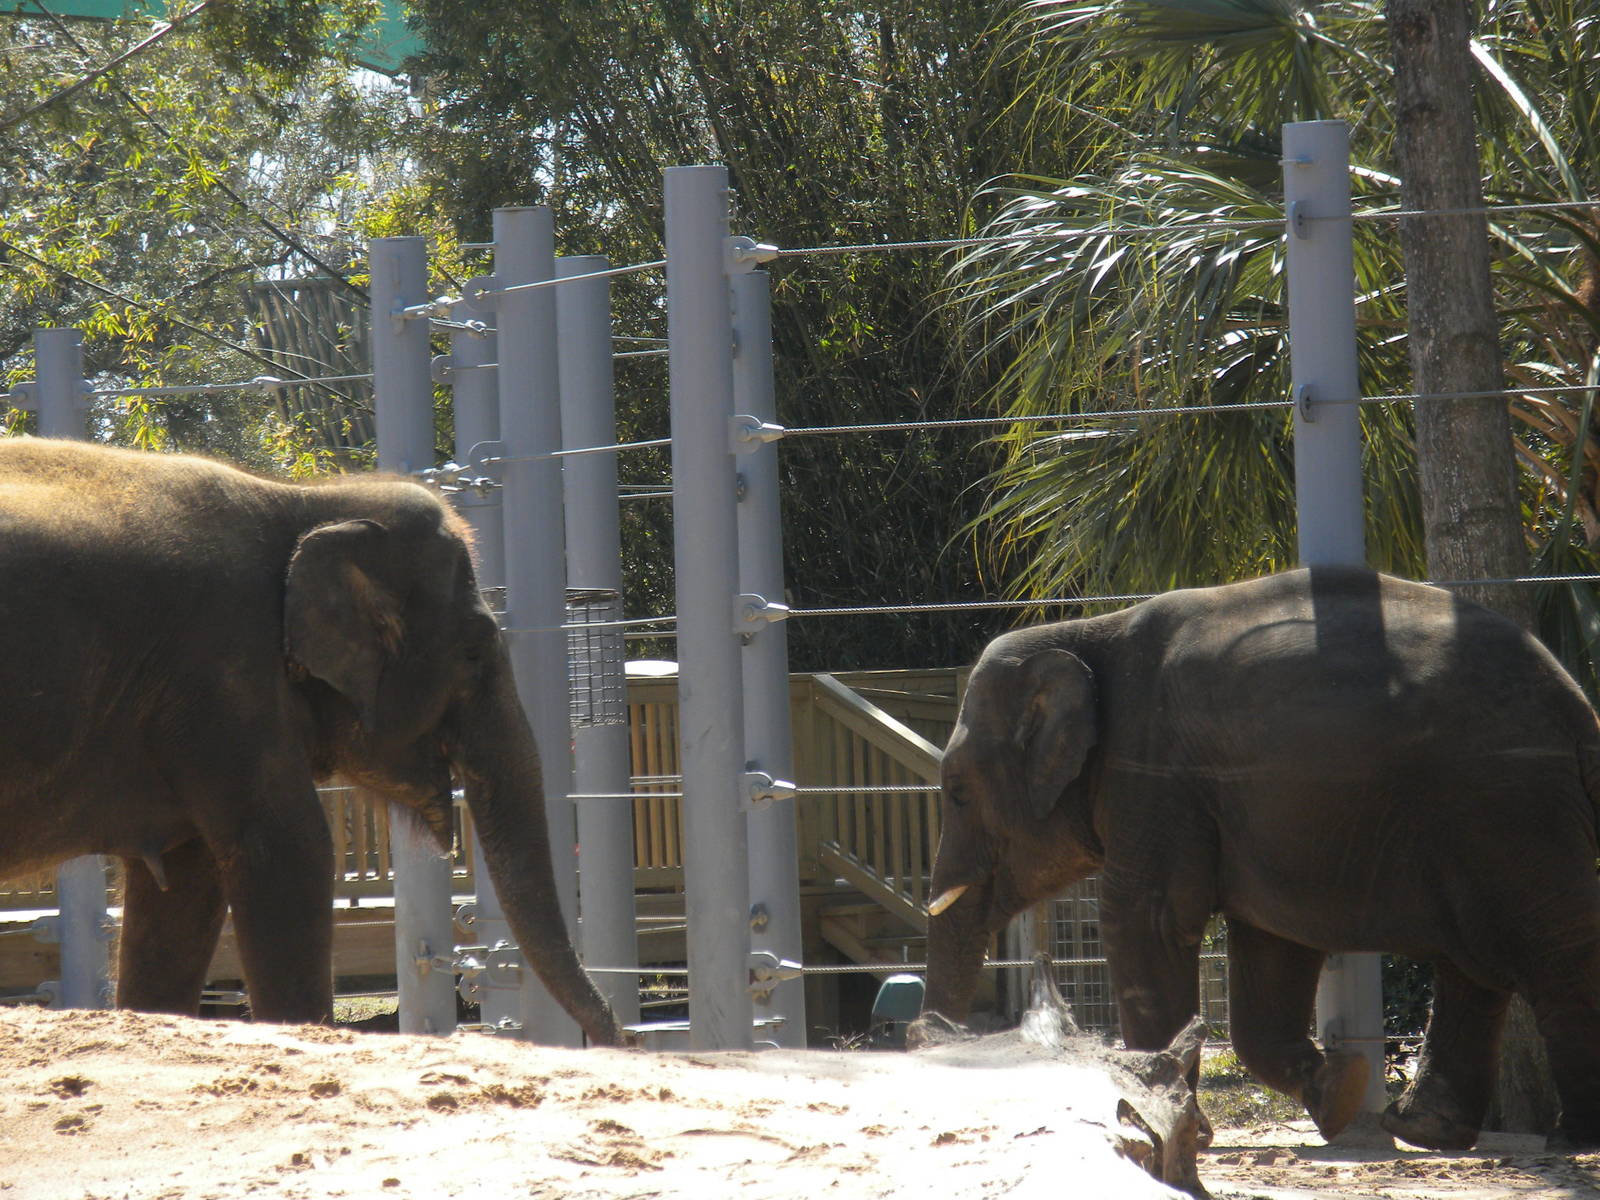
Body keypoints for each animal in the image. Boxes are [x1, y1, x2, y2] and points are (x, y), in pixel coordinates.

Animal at [0, 437, 622, 1045]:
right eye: (474, 652)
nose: (618, 1036)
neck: (308, 502)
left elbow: (186, 881)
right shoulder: (224, 672)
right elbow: (289, 850)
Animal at [923, 566, 1600, 1150]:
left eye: (955, 790)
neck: (1085, 632)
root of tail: (1578, 709)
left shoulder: (1152, 771)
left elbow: (1147, 921)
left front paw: (1171, 1125)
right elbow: (1272, 948)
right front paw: (1339, 1094)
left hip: (1505, 803)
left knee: (1552, 952)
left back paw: (1571, 1137)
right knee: (1475, 964)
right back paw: (1422, 1129)